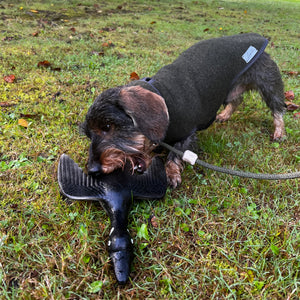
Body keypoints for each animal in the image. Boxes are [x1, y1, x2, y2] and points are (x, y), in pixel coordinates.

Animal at [81, 32, 286, 188]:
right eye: (88, 135)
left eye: (107, 126)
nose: (92, 170)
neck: (163, 98)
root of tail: (258, 36)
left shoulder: (187, 134)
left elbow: (175, 155)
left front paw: (171, 173)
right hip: (231, 90)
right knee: (236, 100)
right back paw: (224, 115)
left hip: (268, 82)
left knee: (278, 108)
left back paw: (279, 132)